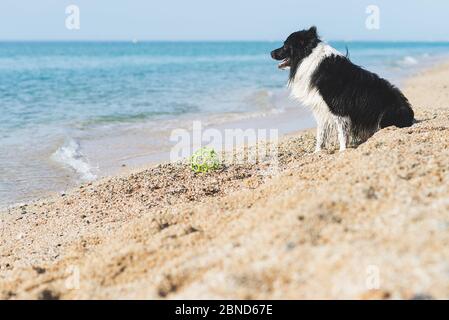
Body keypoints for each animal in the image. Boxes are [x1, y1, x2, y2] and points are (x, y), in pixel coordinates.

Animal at [270, 26, 412, 151]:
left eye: (285, 45)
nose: (270, 52)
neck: (309, 57)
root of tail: (411, 114)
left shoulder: (339, 109)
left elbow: (341, 134)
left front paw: (342, 151)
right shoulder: (321, 109)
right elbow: (321, 134)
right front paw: (317, 152)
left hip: (388, 114)